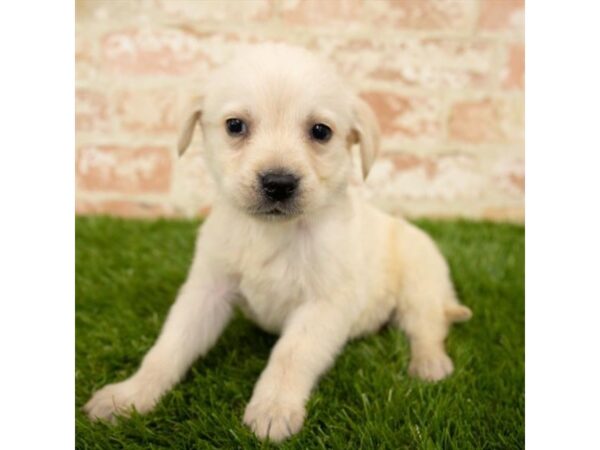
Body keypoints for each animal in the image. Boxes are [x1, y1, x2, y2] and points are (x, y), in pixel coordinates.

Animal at [84, 42, 472, 442]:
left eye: (320, 131)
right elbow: (169, 346)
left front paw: (273, 408)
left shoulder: (325, 303)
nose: (279, 183)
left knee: (428, 326)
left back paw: (430, 363)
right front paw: (129, 396)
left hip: (420, 284)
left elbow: (290, 355)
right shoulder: (207, 290)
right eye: (235, 126)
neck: (272, 231)